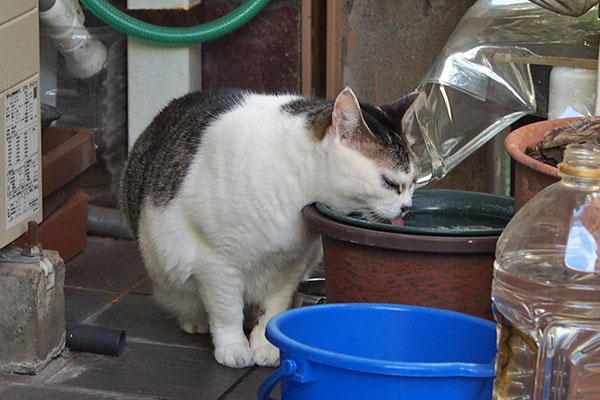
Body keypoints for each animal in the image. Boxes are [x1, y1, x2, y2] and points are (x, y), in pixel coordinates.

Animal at [119, 87, 420, 368]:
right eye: (390, 183)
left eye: (414, 181)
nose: (406, 207)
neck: (297, 188)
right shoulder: (216, 264)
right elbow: (226, 312)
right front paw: (233, 348)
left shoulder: (290, 266)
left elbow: (274, 310)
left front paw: (267, 346)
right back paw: (196, 321)